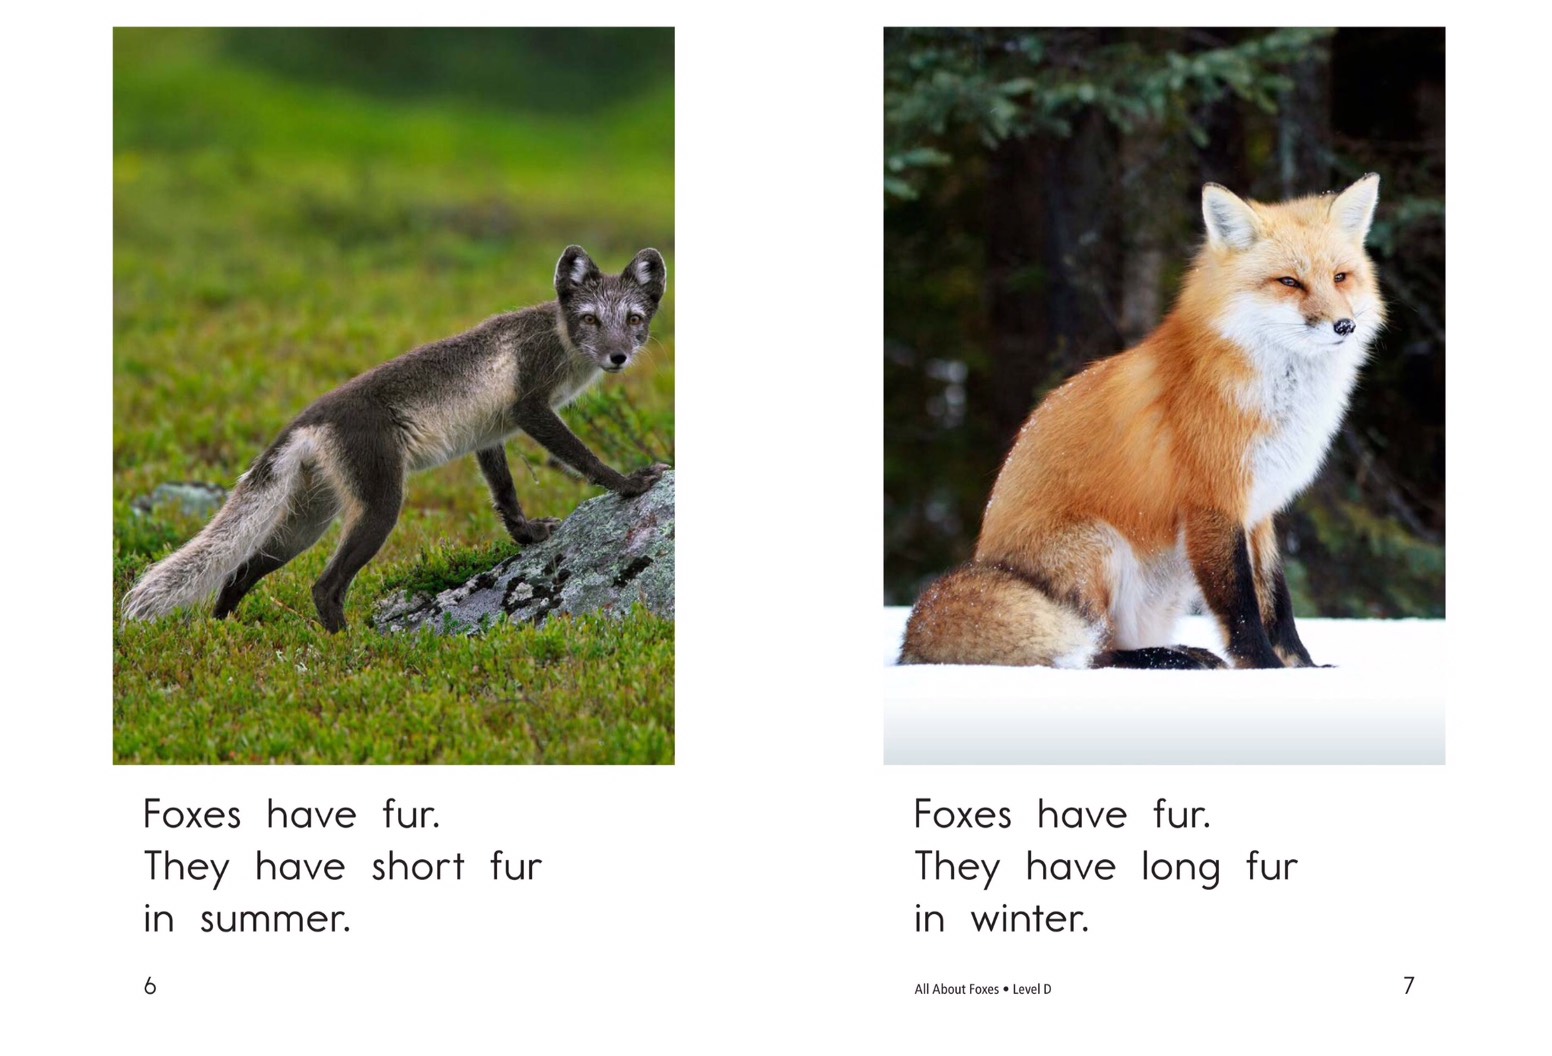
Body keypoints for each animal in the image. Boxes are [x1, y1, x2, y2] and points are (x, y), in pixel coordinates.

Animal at [122, 244, 670, 633]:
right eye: (590, 319)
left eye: (634, 320)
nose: (619, 356)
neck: (560, 336)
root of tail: (308, 419)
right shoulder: (529, 407)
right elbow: (584, 457)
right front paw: (630, 483)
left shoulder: (489, 434)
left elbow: (505, 495)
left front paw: (528, 535)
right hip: (381, 503)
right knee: (324, 586)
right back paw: (351, 644)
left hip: (310, 519)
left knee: (241, 569)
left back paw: (220, 632)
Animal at [900, 174, 1385, 670]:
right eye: (1289, 282)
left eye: (1340, 277)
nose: (1343, 325)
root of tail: (986, 559)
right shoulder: (1213, 504)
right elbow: (1240, 604)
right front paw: (1263, 668)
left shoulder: (1259, 510)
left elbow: (1277, 599)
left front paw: (1302, 667)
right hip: (1099, 546)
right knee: (1097, 653)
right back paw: (1166, 659)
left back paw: (1181, 651)